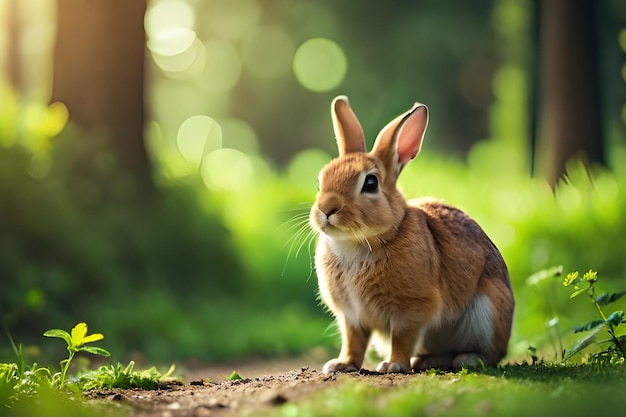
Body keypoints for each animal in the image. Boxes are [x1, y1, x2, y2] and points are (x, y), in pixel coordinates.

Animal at [308, 95, 512, 374]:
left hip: (488, 312)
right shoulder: (351, 316)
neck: (358, 242)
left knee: (491, 354)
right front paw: (341, 365)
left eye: (370, 183)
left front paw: (392, 365)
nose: (326, 209)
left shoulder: (412, 307)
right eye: (321, 181)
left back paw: (466, 359)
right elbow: (353, 341)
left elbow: (402, 337)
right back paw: (425, 361)